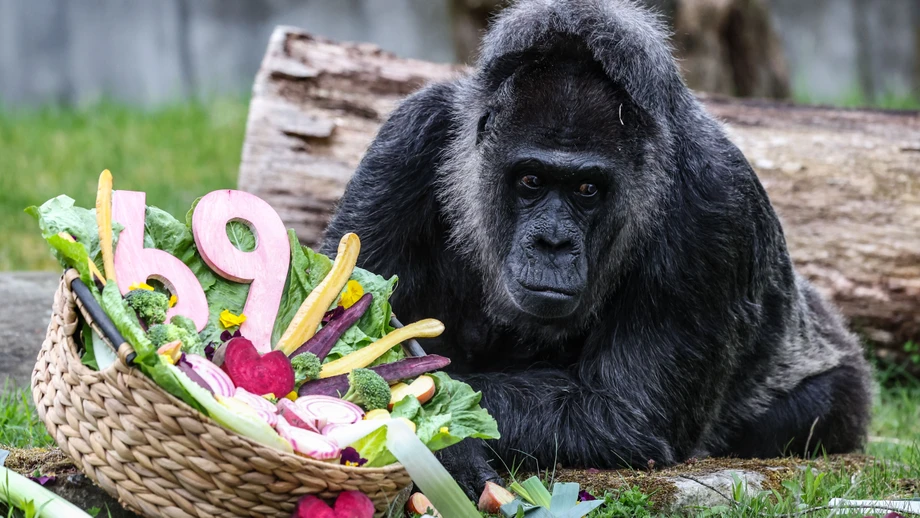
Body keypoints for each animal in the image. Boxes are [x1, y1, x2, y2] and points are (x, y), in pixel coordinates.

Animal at [320, 0, 872, 496]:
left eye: (587, 189)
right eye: (531, 180)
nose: (553, 242)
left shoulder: (717, 202)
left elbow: (623, 414)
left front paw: (442, 440)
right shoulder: (407, 139)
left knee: (817, 408)